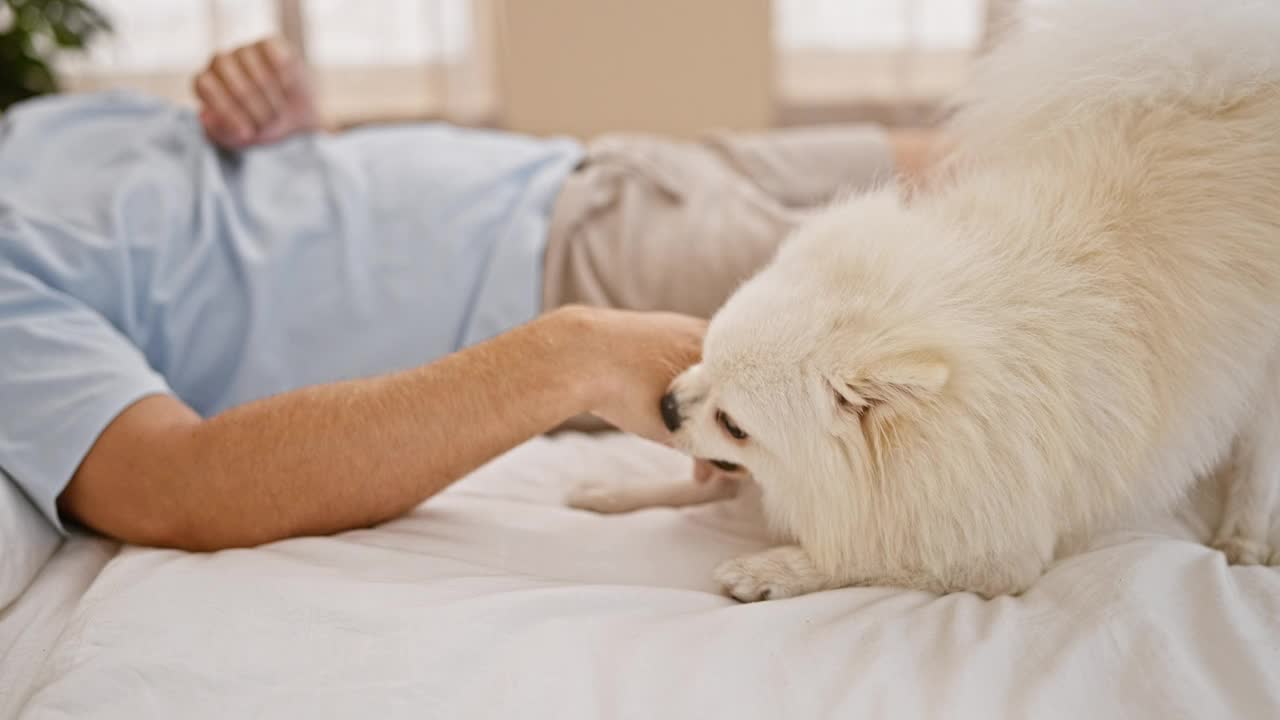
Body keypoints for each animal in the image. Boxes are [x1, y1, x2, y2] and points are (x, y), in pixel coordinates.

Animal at [576, 0, 1280, 597]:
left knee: (1259, 453)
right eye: (704, 355)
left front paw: (771, 568)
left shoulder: (990, 548)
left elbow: (867, 555)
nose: (666, 406)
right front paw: (610, 495)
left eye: (735, 424)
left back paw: (1244, 534)